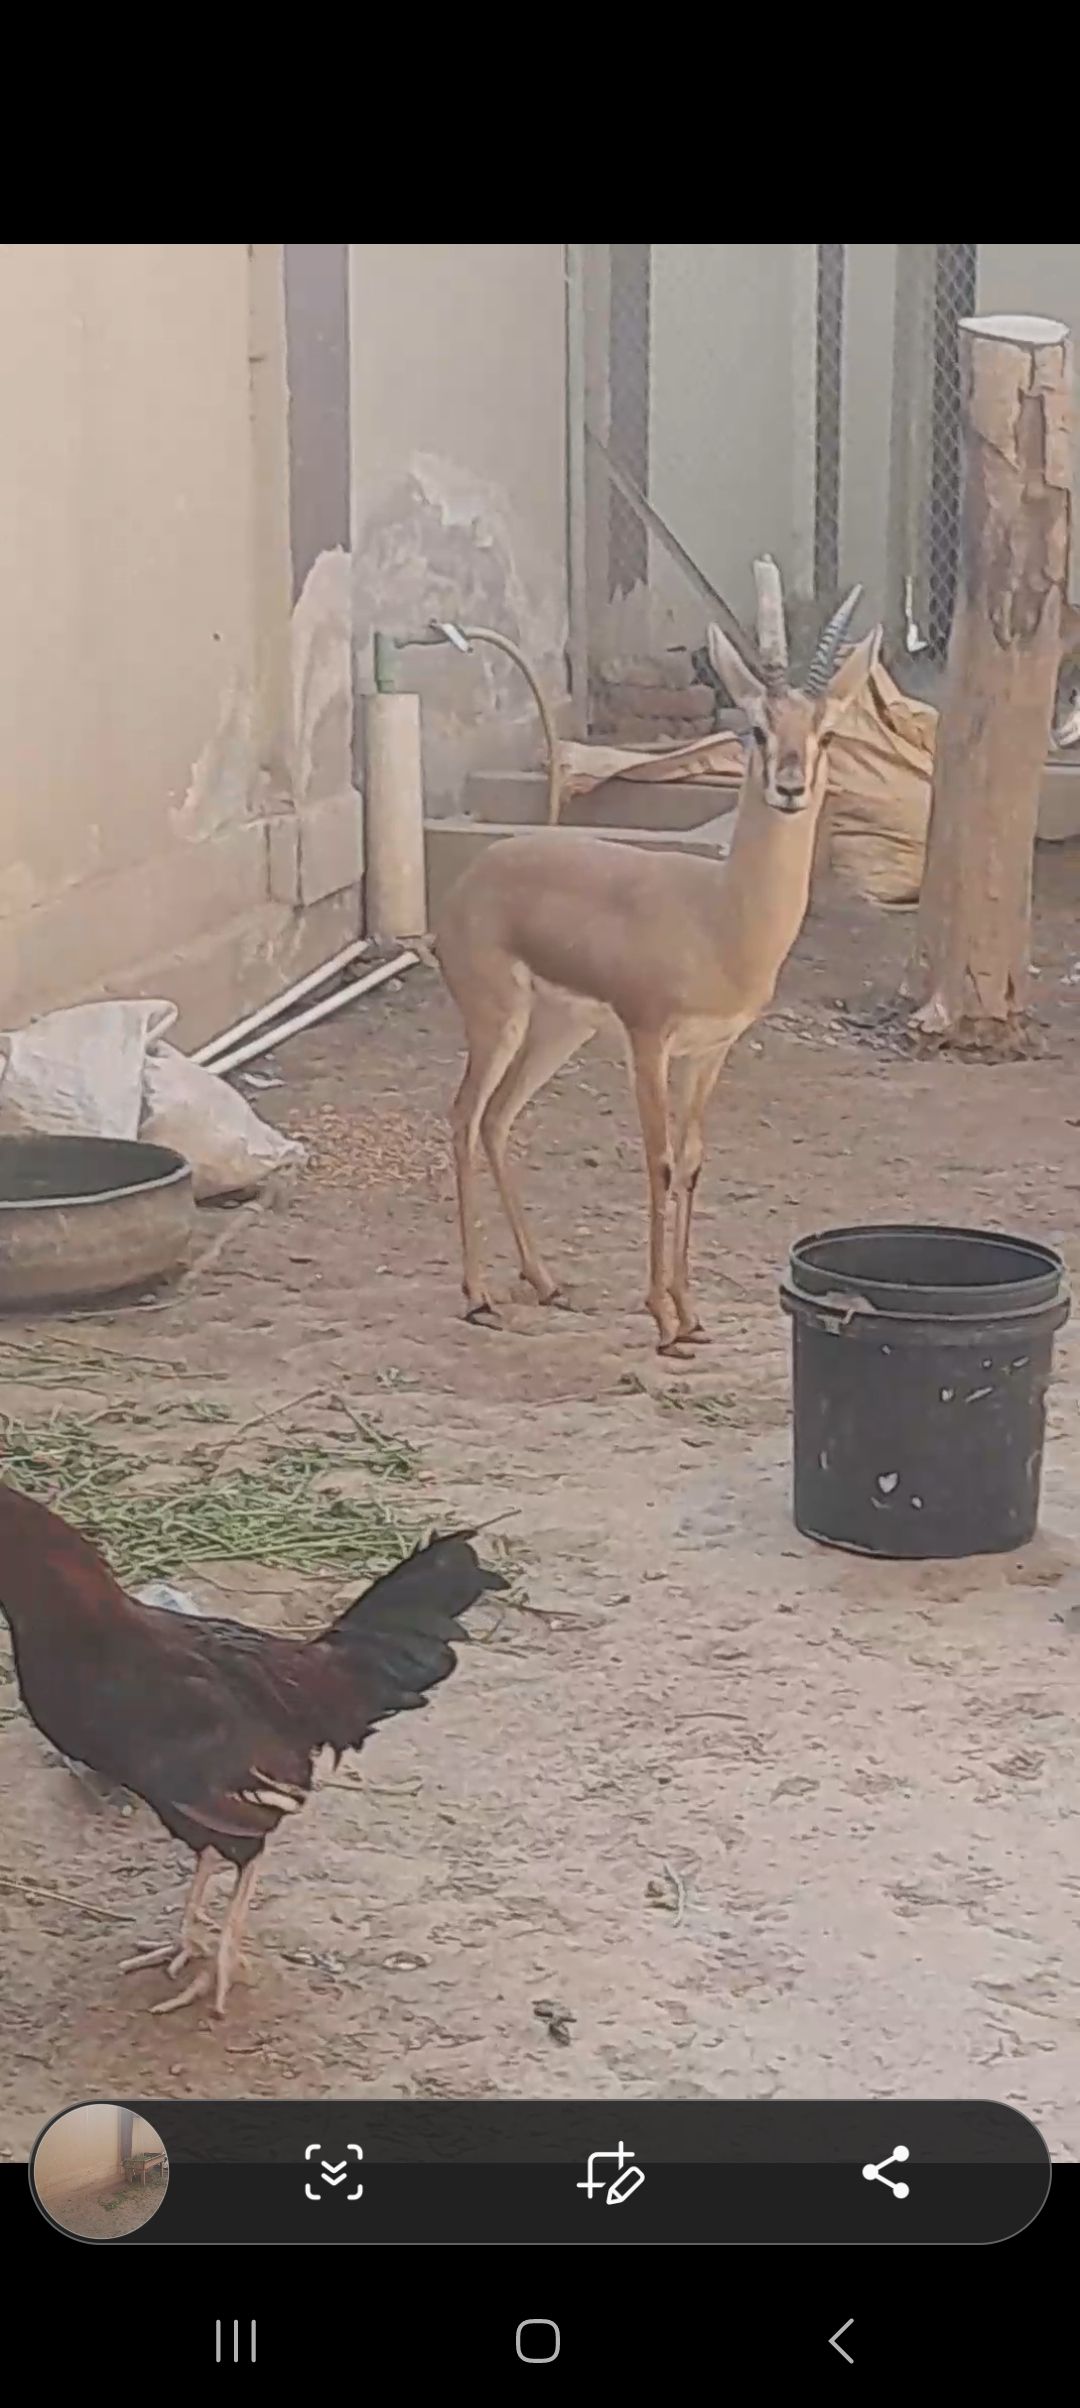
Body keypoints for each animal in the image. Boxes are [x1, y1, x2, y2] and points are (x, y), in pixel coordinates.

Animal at [434, 559, 883, 1356]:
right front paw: (663, 1320)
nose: (791, 788)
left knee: (496, 1120)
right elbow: (659, 1158)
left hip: (559, 1030)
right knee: (463, 1117)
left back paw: (544, 1281)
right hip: (499, 1020)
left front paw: (691, 1312)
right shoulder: (649, 1040)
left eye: (825, 733)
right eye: (756, 729)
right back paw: (479, 1294)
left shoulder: (711, 1050)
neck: (719, 920)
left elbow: (695, 1161)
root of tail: (469, 880)